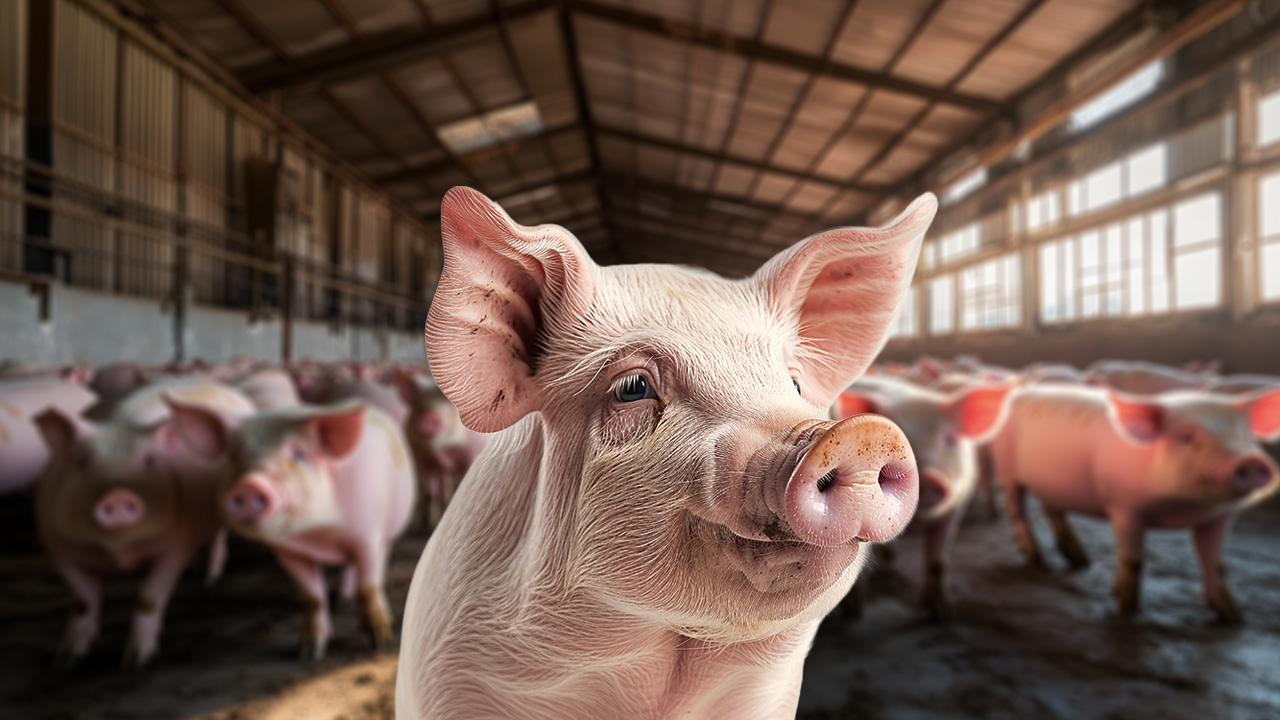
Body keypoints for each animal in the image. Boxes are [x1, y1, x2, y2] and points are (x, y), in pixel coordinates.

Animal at [33, 379, 255, 666]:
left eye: (150, 461)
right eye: (81, 462)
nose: (117, 495)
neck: (118, 548)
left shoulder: (174, 544)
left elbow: (148, 597)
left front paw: (137, 661)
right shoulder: (57, 545)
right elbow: (83, 601)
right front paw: (67, 659)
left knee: (217, 537)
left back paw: (209, 578)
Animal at [167, 400, 417, 661]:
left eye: (299, 454)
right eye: (234, 455)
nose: (248, 484)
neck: (318, 535)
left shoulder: (367, 536)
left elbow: (368, 587)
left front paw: (380, 643)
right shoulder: (288, 552)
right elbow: (312, 596)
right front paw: (308, 653)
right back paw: (341, 600)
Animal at [395, 371, 489, 528]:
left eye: (451, 402)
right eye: (418, 405)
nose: (428, 415)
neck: (442, 451)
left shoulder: (473, 452)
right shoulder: (421, 457)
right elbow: (430, 491)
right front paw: (429, 523)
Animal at [834, 377, 1014, 619]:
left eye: (949, 440)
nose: (928, 478)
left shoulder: (954, 511)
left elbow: (938, 563)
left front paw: (942, 613)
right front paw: (853, 612)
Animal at [991, 384, 1280, 624]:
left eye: (1246, 435)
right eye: (1186, 437)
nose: (1249, 462)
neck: (1185, 507)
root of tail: (1019, 391)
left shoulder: (1219, 516)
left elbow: (1218, 564)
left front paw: (1234, 618)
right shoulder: (1124, 507)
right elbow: (1133, 560)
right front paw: (1127, 613)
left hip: (1051, 484)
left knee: (1052, 509)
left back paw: (1080, 561)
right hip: (1006, 467)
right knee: (1016, 509)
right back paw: (1037, 561)